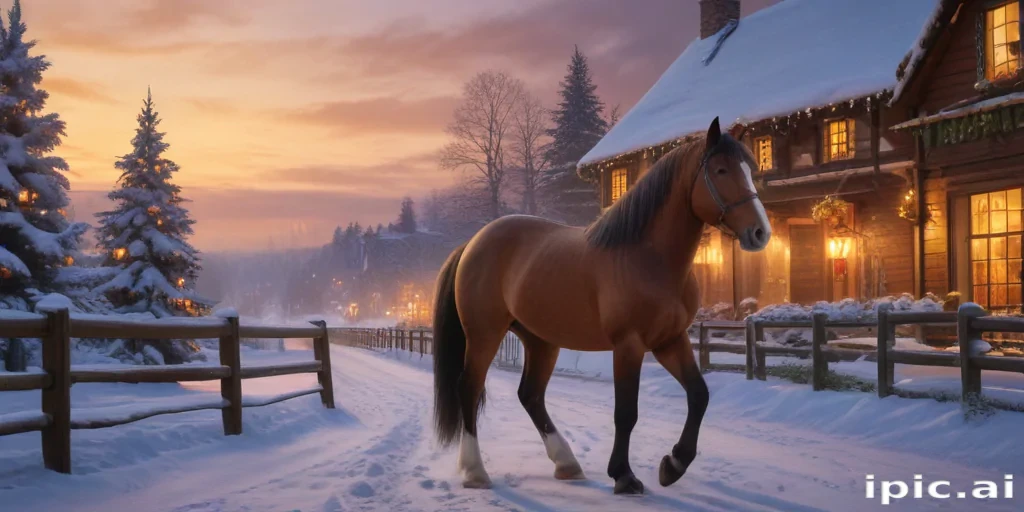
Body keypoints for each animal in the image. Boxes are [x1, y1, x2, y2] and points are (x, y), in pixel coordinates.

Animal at [431, 117, 771, 495]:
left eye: (750, 168)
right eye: (721, 169)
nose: (760, 232)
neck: (647, 257)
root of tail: (473, 243)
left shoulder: (670, 341)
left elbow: (699, 395)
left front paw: (673, 464)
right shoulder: (628, 345)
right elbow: (626, 412)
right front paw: (624, 475)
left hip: (541, 341)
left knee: (530, 395)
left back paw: (566, 463)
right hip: (484, 335)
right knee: (469, 389)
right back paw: (475, 471)